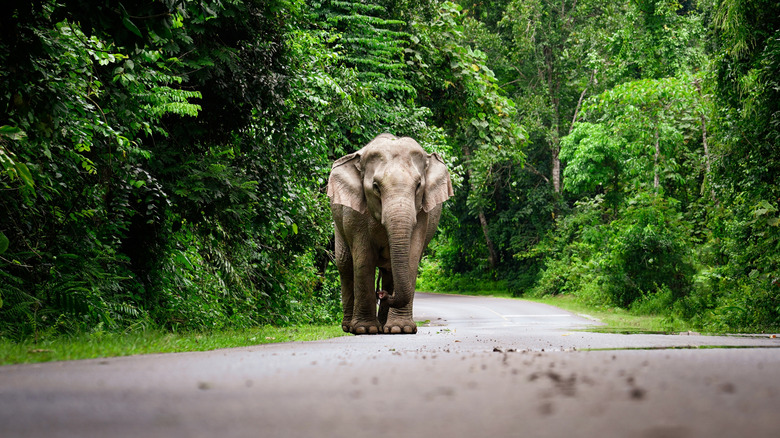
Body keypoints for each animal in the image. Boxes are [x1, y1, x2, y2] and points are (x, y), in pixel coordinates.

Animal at [327, 133, 453, 334]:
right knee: (345, 264)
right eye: (376, 186)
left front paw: (400, 329)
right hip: (337, 220)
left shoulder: (422, 214)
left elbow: (411, 257)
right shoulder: (355, 214)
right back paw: (349, 326)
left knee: (387, 271)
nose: (382, 294)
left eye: (419, 185)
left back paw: (385, 325)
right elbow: (363, 259)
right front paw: (365, 329)